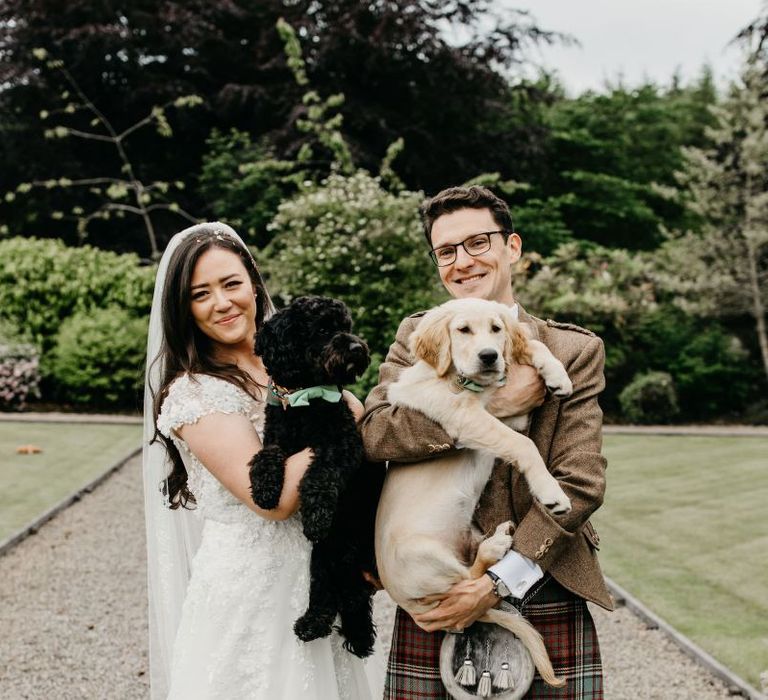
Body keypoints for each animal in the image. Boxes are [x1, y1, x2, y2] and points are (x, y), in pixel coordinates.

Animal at [250, 296, 388, 656]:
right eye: (323, 329)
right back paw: (314, 625)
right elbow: (265, 456)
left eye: (347, 327)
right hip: (324, 556)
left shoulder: (344, 444)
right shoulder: (277, 439)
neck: (304, 401)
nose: (356, 348)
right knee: (330, 595)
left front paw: (316, 514)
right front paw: (264, 488)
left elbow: (321, 474)